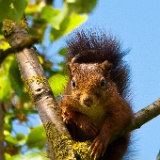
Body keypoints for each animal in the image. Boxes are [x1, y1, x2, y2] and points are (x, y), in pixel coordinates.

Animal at [59, 30, 133, 160]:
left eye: (103, 82)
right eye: (73, 83)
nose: (87, 100)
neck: (92, 109)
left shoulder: (119, 105)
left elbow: (119, 119)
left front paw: (101, 140)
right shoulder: (66, 102)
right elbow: (70, 112)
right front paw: (86, 124)